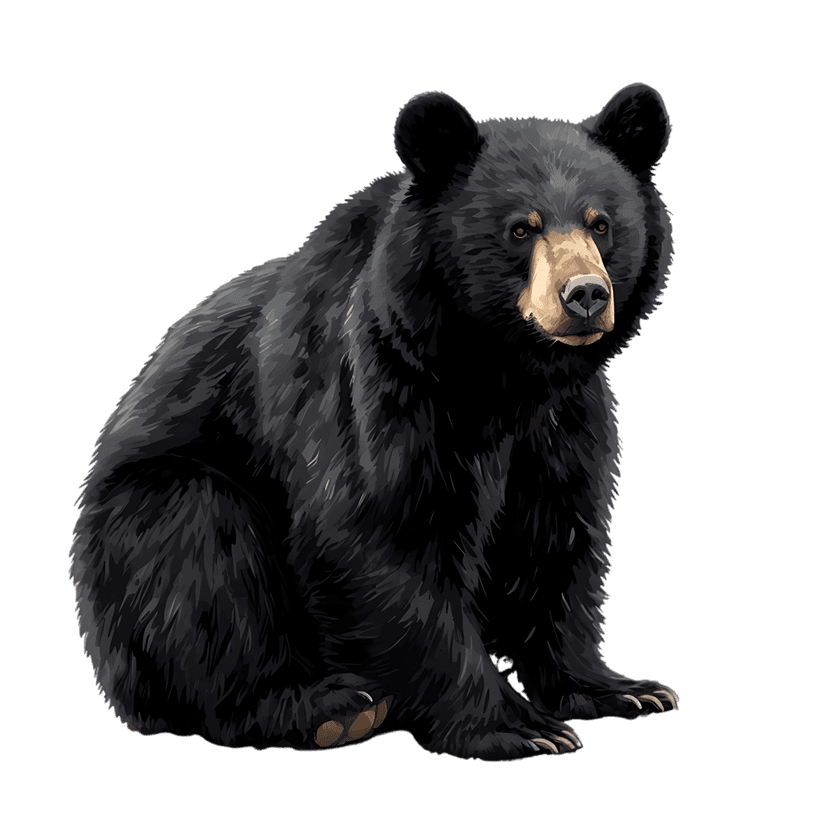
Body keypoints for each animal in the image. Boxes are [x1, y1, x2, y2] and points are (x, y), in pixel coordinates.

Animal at [70, 83, 677, 761]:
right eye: (521, 228)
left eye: (602, 224)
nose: (586, 295)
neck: (501, 373)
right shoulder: (383, 386)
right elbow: (382, 534)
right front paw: (515, 725)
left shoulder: (563, 422)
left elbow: (558, 538)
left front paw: (621, 689)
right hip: (144, 524)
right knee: (204, 556)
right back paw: (323, 708)